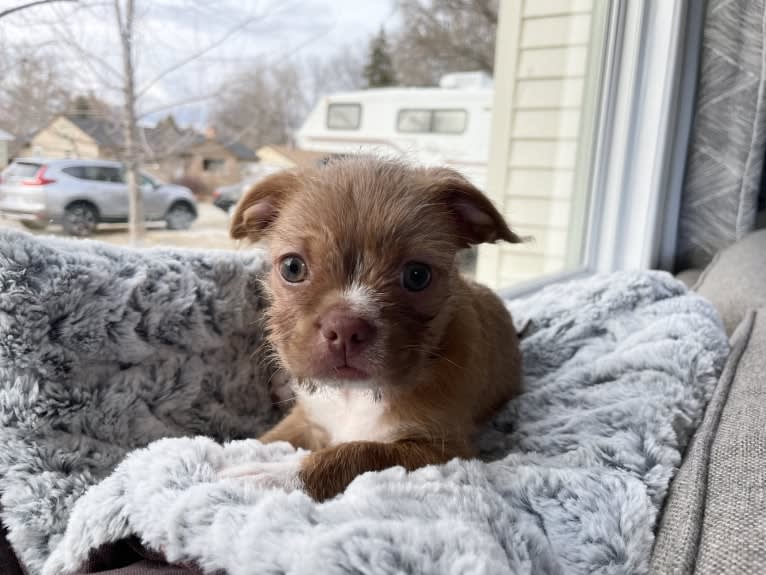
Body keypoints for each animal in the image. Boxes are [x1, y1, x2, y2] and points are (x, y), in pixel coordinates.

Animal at [219, 156, 524, 500]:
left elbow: (356, 453)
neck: (353, 396)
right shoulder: (306, 419)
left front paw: (271, 475)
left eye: (417, 275)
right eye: (292, 267)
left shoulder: (441, 451)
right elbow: (268, 438)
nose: (345, 327)